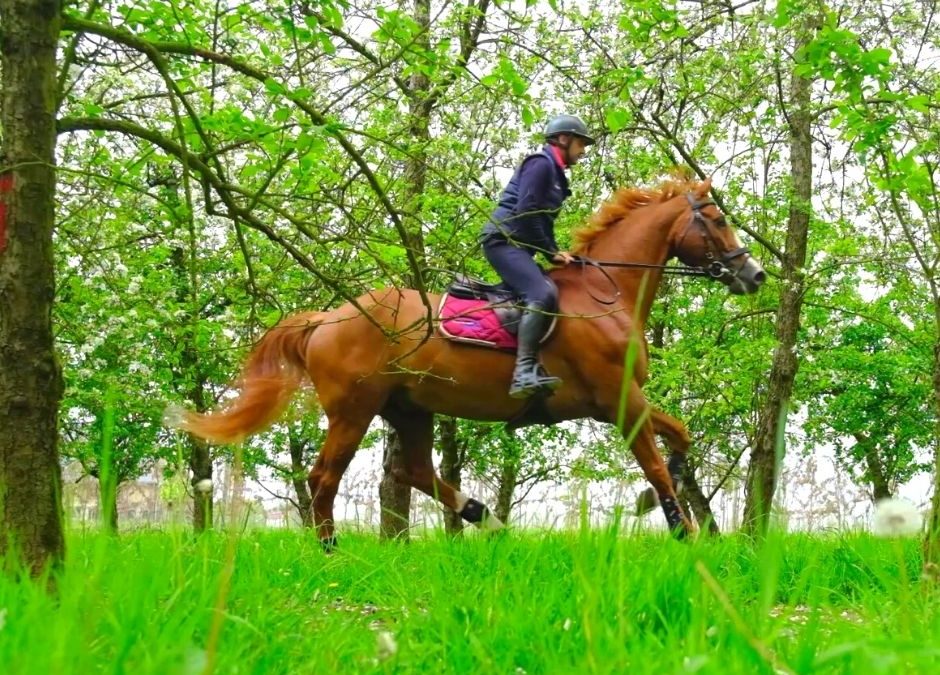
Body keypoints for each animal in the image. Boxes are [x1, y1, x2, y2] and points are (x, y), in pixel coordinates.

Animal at [171, 178, 765, 546]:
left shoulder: (621, 403)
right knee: (324, 477)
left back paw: (485, 517)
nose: (754, 275)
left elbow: (680, 439)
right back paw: (332, 549)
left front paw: (656, 507)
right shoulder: (620, 401)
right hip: (353, 411)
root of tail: (327, 317)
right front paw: (681, 529)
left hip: (409, 408)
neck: (606, 295)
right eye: (716, 219)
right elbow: (659, 461)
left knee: (412, 470)